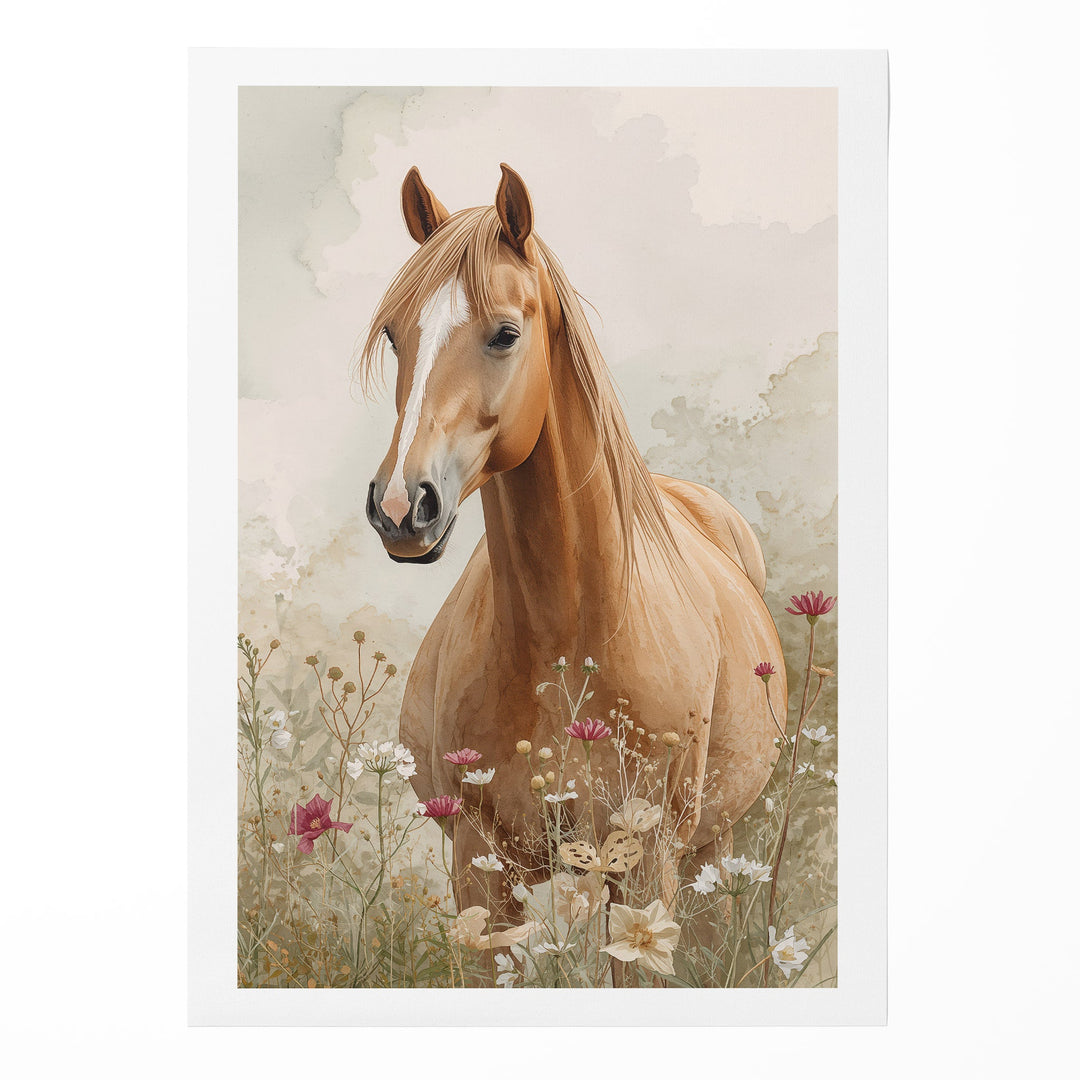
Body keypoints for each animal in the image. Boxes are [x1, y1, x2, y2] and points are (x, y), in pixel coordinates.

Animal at [358, 164, 787, 941]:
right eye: (396, 336)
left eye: (505, 334)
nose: (402, 507)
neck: (568, 632)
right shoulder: (480, 862)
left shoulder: (648, 863)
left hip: (710, 849)